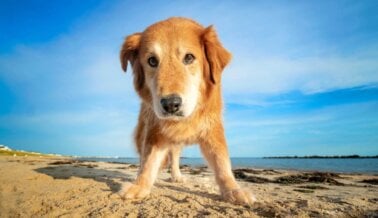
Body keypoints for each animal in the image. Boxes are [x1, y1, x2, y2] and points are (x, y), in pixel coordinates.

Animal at [119, 16, 254, 204]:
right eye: (152, 61)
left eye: (189, 58)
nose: (170, 104)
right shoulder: (155, 130)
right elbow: (148, 161)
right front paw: (140, 186)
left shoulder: (213, 129)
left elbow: (221, 163)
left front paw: (234, 190)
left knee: (175, 156)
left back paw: (176, 176)